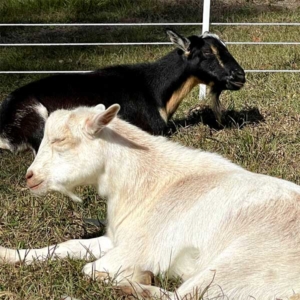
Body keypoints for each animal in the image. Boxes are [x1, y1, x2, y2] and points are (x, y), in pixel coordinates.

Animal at [0, 103, 300, 300]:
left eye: (61, 140)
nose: (30, 177)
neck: (148, 184)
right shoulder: (119, 238)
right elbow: (68, 246)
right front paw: (8, 254)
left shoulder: (139, 248)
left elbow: (90, 268)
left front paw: (133, 275)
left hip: (241, 265)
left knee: (184, 296)